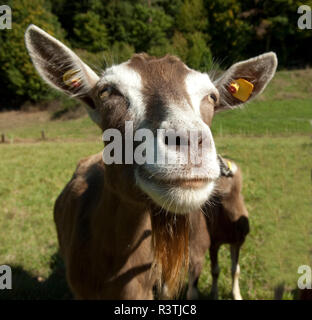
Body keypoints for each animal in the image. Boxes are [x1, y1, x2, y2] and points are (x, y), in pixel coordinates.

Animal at [186, 158, 250, 300]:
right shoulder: (214, 244)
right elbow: (215, 270)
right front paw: (214, 294)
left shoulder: (238, 242)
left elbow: (235, 270)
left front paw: (237, 295)